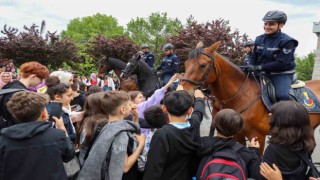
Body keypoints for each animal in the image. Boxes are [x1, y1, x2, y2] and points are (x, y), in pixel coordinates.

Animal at [180, 41, 320, 154]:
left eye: (202, 65)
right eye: (186, 63)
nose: (183, 90)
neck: (242, 95)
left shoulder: (257, 137)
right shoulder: (238, 134)